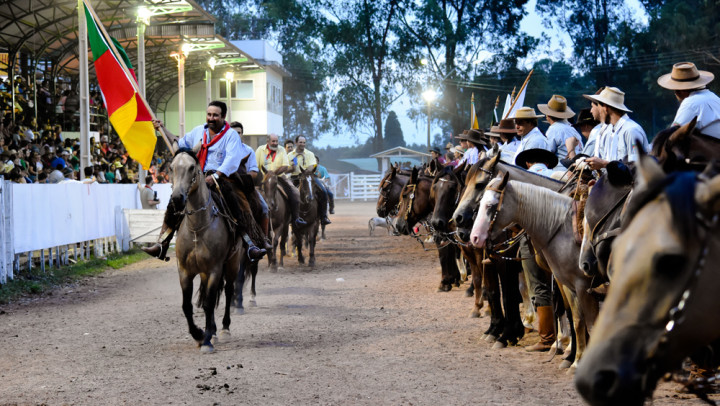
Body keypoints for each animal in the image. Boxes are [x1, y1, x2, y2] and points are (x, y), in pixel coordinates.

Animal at [170, 148, 243, 352]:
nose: (177, 198)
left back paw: (224, 329)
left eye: (191, 167)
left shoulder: (214, 270)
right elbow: (187, 306)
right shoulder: (185, 271)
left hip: (232, 263)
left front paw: (207, 339)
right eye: (171, 167)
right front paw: (198, 334)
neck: (198, 228)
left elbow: (210, 304)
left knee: (228, 291)